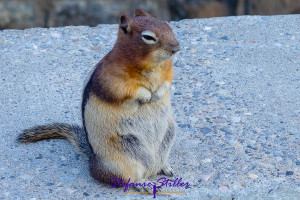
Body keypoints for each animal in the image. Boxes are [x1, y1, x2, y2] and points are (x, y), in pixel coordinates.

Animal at [17, 7, 179, 191]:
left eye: (167, 25)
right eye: (148, 37)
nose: (177, 47)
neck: (152, 65)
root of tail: (92, 160)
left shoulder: (168, 70)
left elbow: (167, 81)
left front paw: (158, 93)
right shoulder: (111, 78)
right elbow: (126, 91)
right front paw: (146, 96)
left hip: (166, 139)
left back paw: (165, 167)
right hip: (122, 160)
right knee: (129, 177)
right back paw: (144, 183)